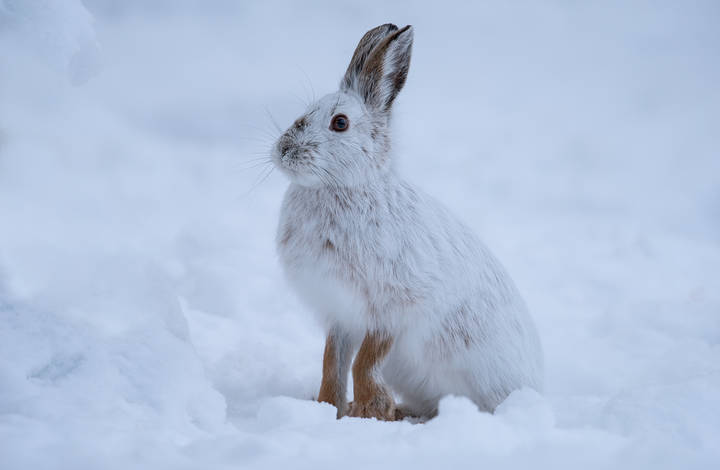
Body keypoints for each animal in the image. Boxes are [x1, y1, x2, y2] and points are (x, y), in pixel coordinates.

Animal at [273, 23, 543, 420]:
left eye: (340, 123)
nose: (283, 150)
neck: (346, 187)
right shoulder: (340, 313)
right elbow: (332, 362)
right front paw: (328, 408)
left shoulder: (395, 306)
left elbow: (364, 362)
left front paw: (369, 411)